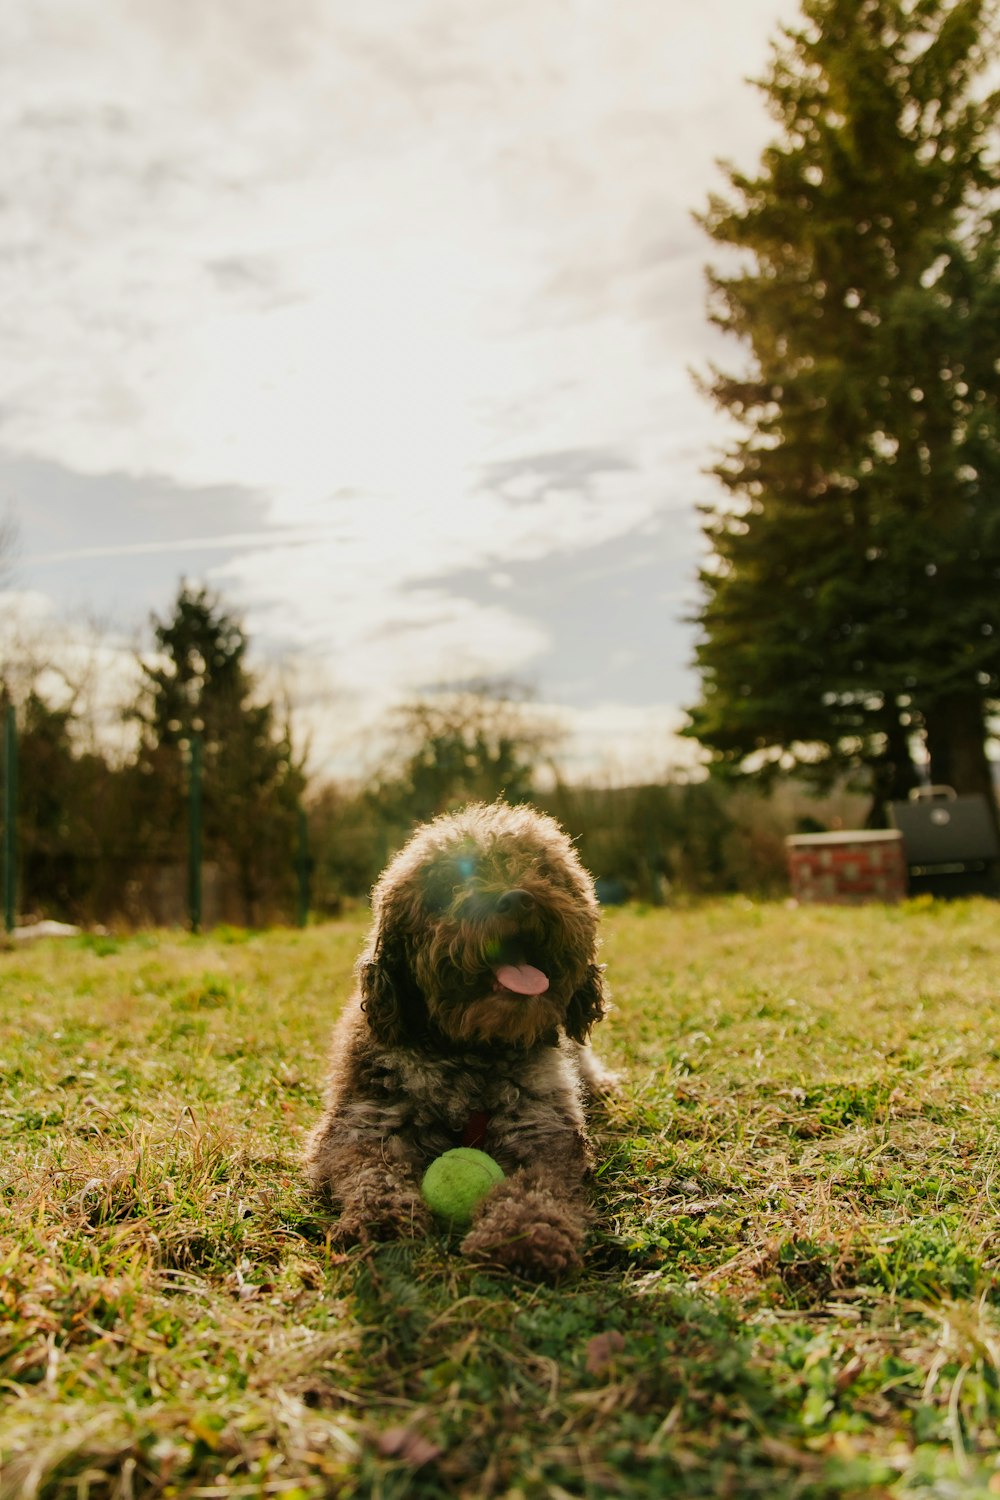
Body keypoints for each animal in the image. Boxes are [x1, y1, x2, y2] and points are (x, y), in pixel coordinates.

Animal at [301, 798, 614, 1278]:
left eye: (542, 871)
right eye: (450, 885)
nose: (518, 898)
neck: (471, 1052)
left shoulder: (543, 1131)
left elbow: (538, 1186)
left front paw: (525, 1233)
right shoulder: (362, 1125)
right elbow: (372, 1173)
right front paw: (379, 1217)